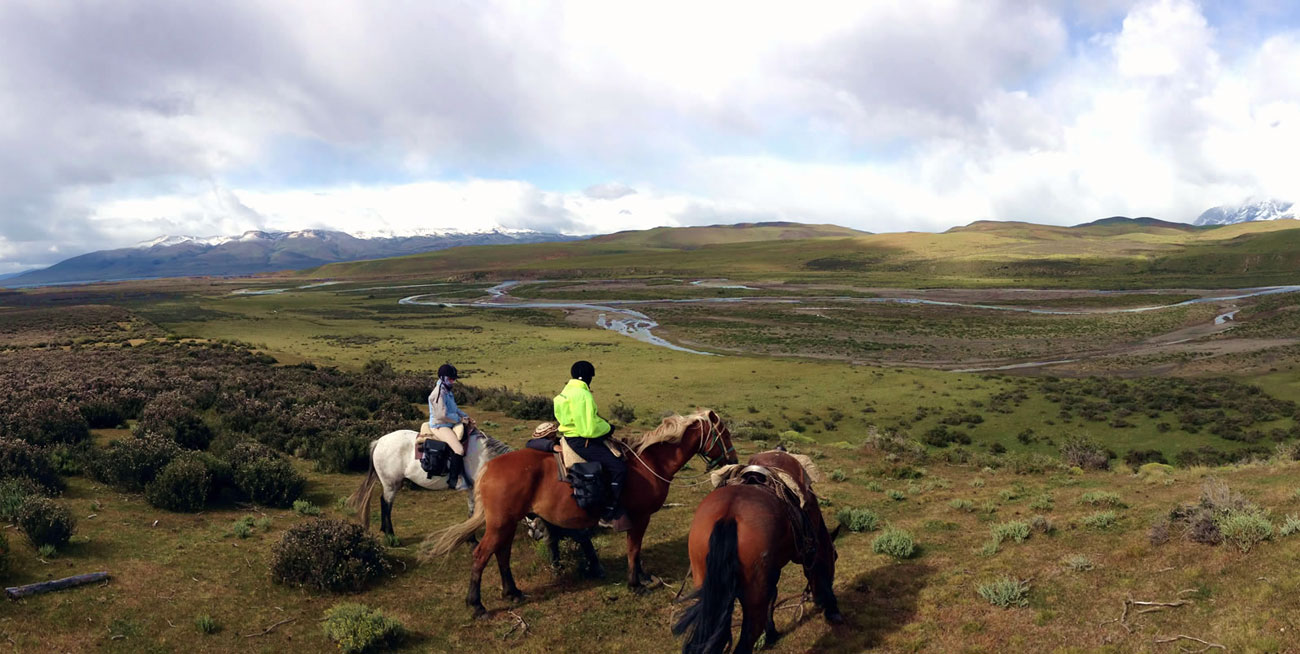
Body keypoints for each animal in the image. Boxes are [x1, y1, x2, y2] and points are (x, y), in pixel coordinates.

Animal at [345, 426, 512, 540]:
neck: (483, 457)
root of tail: (379, 441)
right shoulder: (473, 488)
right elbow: (473, 514)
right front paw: (471, 539)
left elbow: (471, 512)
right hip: (391, 484)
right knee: (386, 504)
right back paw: (391, 536)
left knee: (383, 502)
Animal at [423, 410, 738, 616]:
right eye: (724, 434)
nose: (732, 459)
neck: (649, 463)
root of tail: (489, 467)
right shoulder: (640, 517)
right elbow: (634, 549)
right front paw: (636, 584)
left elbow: (635, 550)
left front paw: (644, 577)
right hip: (501, 523)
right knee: (481, 555)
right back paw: (477, 605)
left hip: (508, 522)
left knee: (502, 554)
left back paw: (512, 592)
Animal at [670, 449, 842, 654]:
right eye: (835, 557)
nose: (822, 604)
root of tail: (729, 515)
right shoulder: (798, 558)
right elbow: (785, 588)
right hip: (754, 595)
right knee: (749, 634)